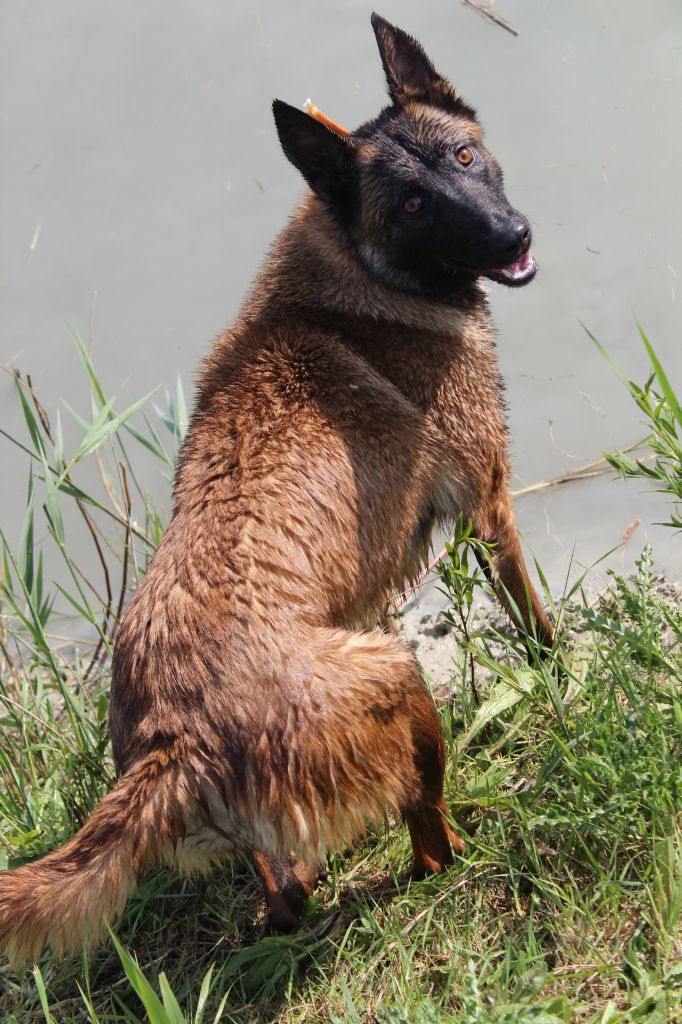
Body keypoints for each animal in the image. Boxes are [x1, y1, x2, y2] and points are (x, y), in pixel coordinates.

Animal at [0, 14, 552, 958]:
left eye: (466, 156)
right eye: (412, 205)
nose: (512, 237)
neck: (360, 276)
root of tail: (176, 734)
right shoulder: (491, 502)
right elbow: (536, 621)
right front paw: (561, 677)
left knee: (286, 895)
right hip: (399, 682)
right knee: (428, 835)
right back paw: (464, 849)